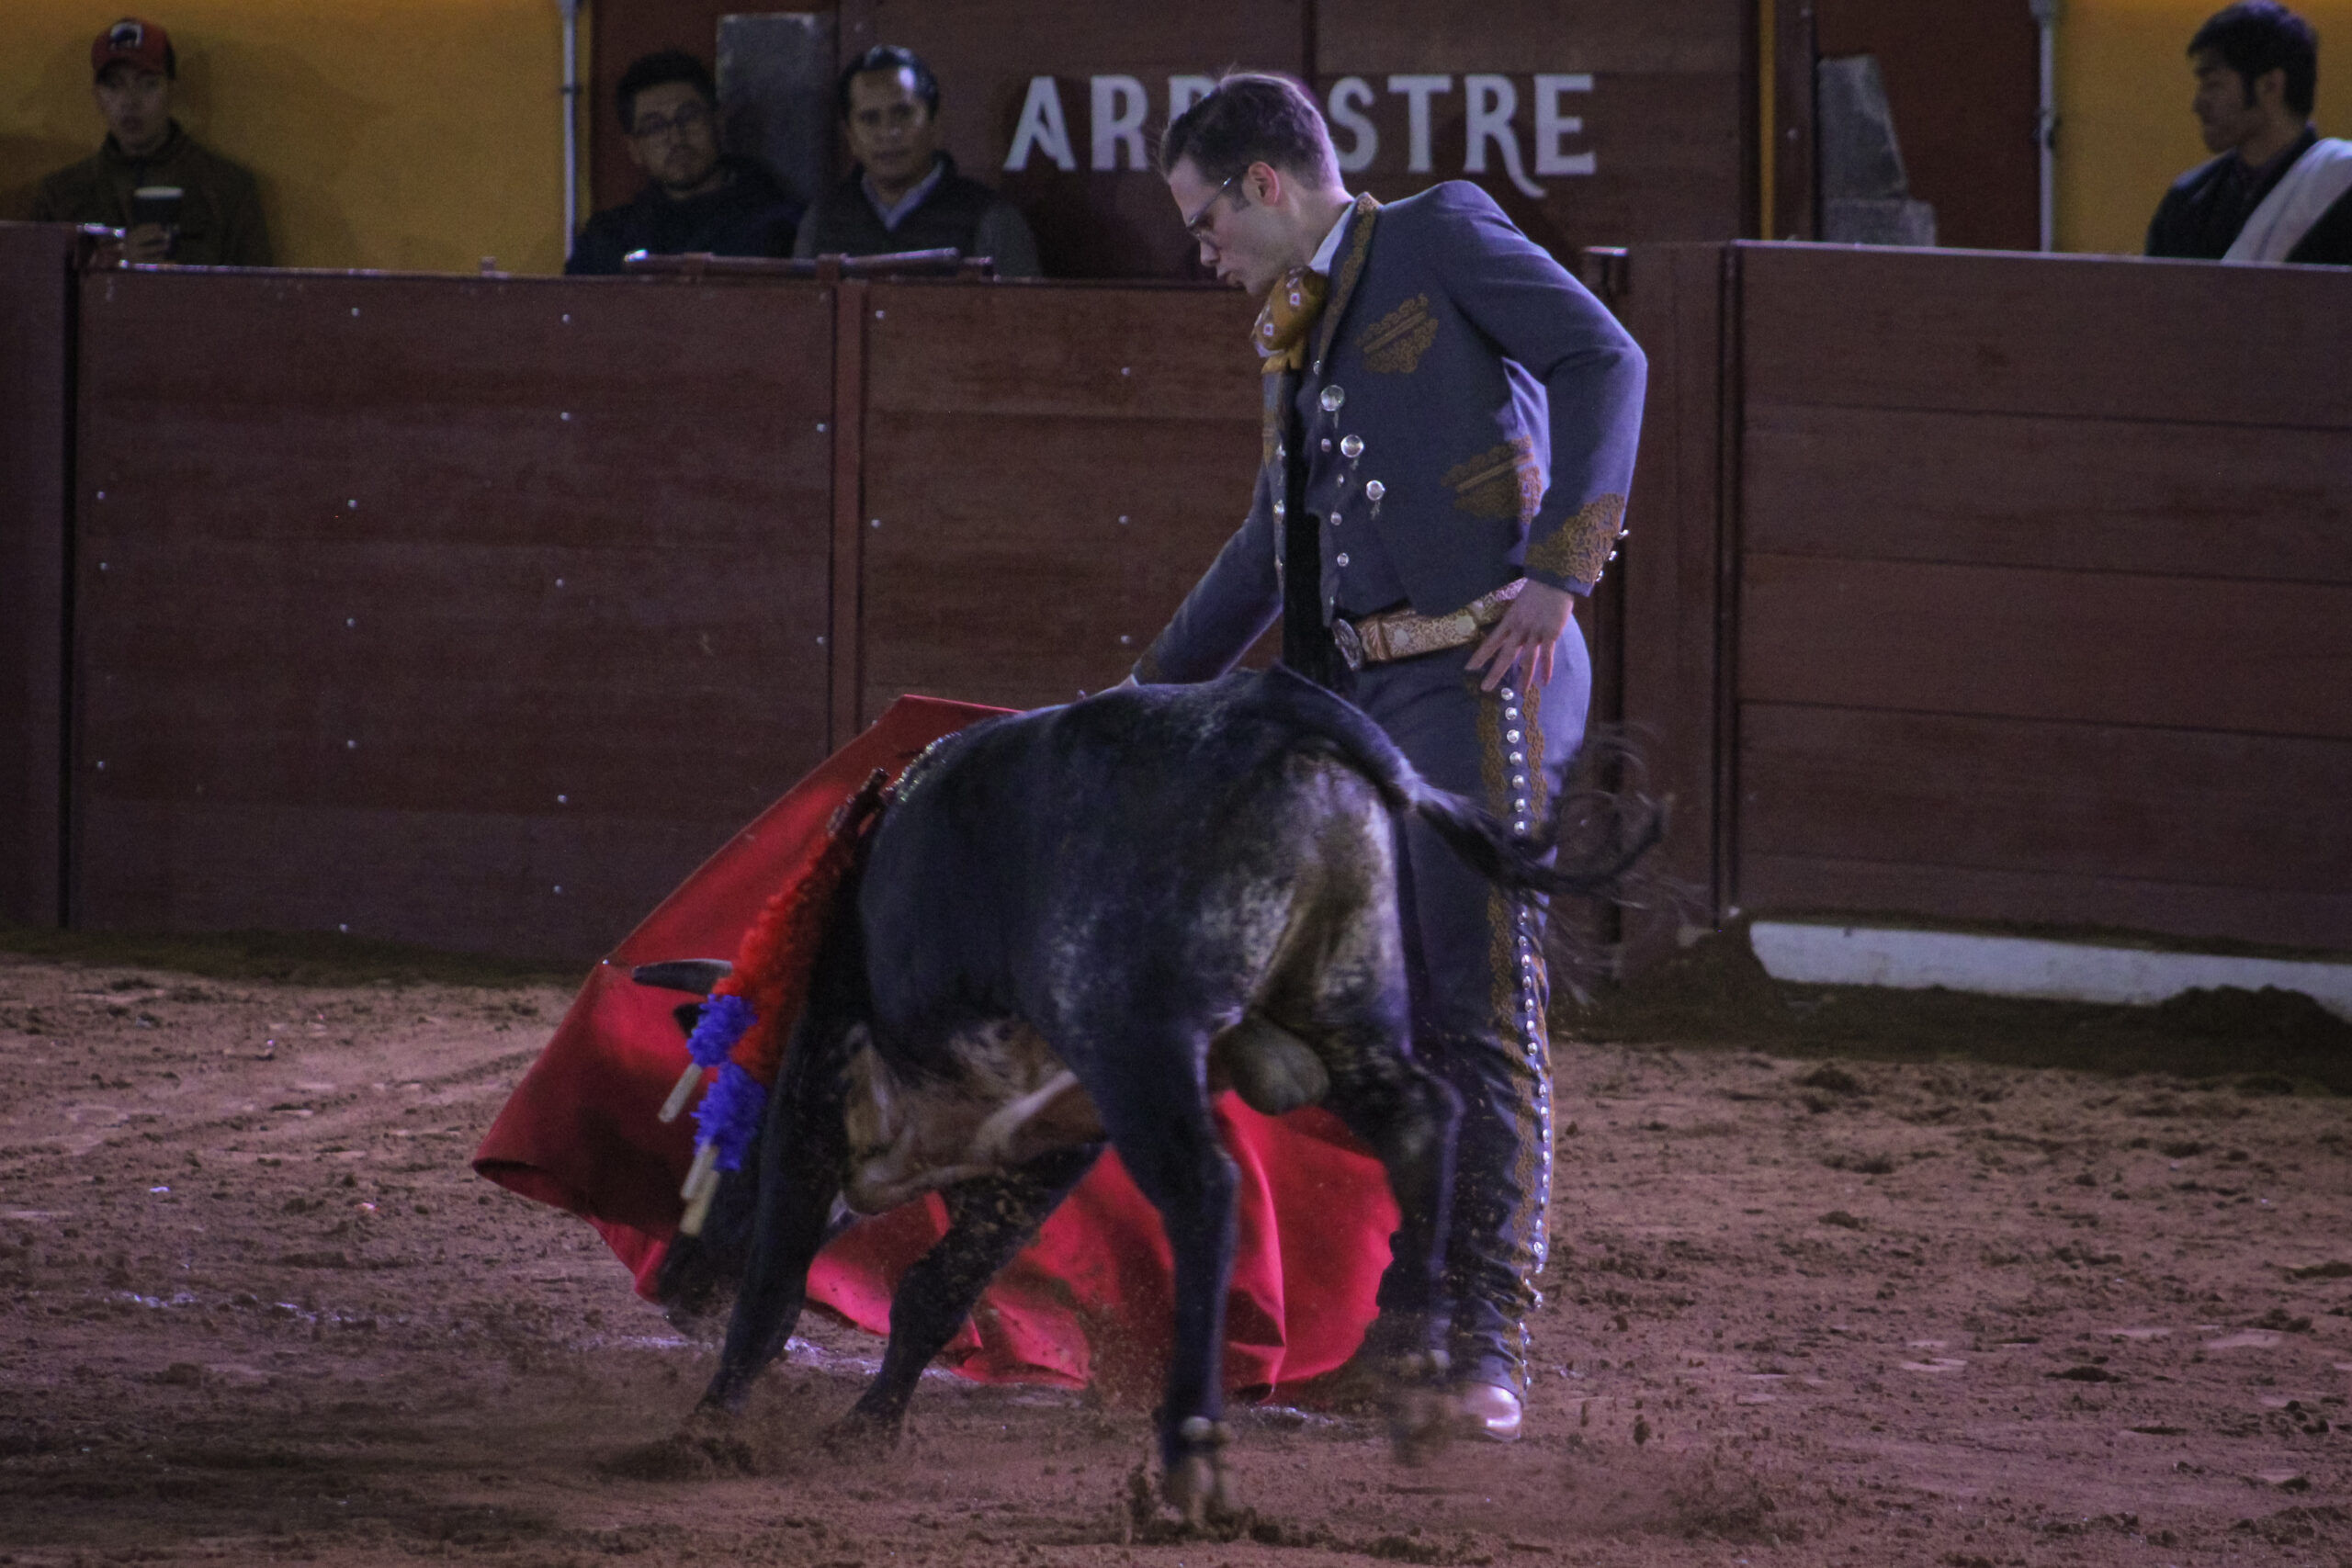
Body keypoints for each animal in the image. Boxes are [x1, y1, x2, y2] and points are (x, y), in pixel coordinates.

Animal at [635, 667, 1646, 1523]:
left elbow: (776, 1289)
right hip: (1344, 1004)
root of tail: (1275, 705)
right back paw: (1417, 1383)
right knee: (1425, 1121)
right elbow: (933, 1290)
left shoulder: (823, 1097)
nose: (672, 1285)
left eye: (716, 1135)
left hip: (1137, 1044)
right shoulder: (1047, 1146)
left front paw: (704, 1435)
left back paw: (1190, 1454)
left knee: (1208, 1191)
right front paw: (867, 1429)